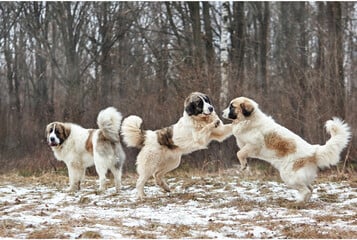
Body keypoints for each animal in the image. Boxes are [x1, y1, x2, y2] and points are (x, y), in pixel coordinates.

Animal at [222, 96, 350, 203]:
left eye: (232, 106)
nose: (222, 112)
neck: (249, 119)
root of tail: (314, 151)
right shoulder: (244, 143)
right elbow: (240, 150)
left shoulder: (254, 145)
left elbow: (239, 153)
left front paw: (244, 165)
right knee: (310, 188)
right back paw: (303, 201)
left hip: (289, 176)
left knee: (306, 190)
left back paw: (299, 202)